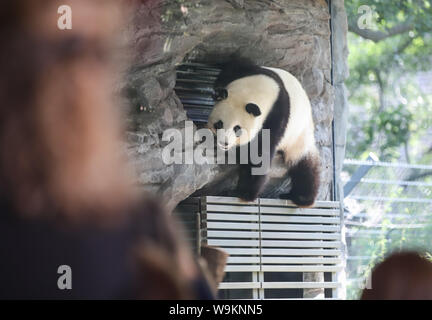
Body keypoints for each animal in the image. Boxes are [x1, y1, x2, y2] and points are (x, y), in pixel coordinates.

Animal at [208, 59, 318, 208]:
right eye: (219, 124)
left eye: (237, 129)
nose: (224, 143)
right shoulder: (240, 72)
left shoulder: (277, 118)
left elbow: (260, 153)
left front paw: (243, 193)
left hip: (299, 134)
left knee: (304, 164)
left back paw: (301, 197)